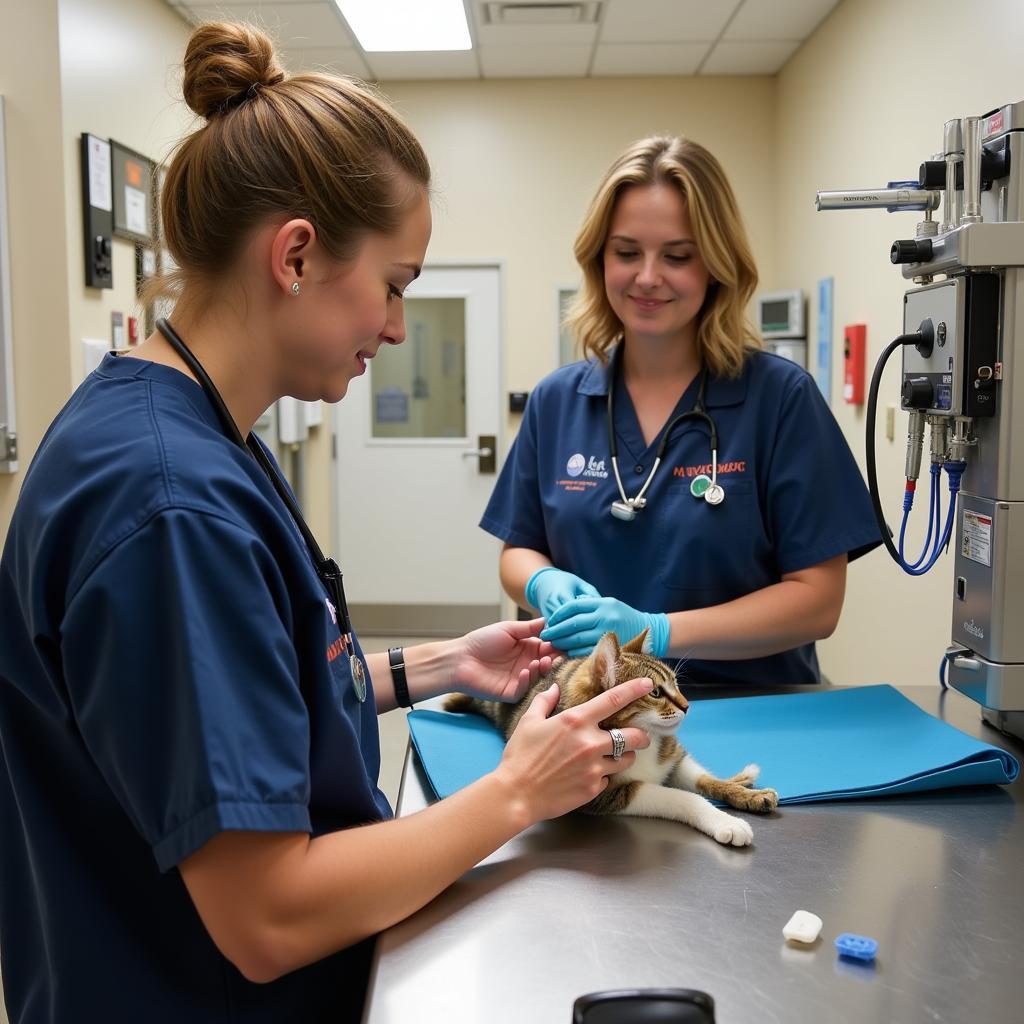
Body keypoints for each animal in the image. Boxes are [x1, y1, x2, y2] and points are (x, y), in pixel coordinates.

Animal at [446, 626, 774, 843]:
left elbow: (701, 778)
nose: (687, 705)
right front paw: (723, 819)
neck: (645, 739)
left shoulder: (672, 755)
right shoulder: (601, 793)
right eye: (655, 692)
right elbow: (679, 796)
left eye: (677, 684)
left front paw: (742, 793)